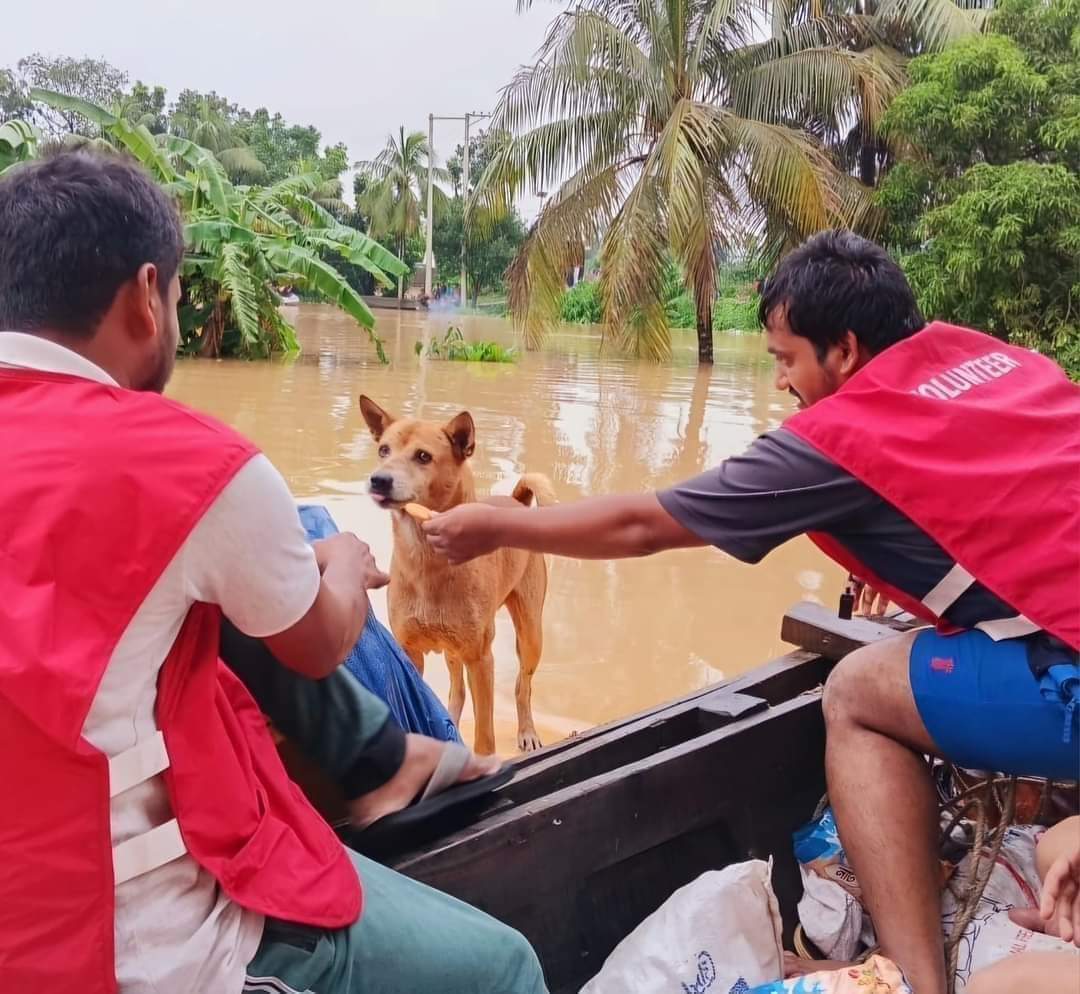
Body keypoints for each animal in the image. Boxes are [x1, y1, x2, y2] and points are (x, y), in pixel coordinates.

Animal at [360, 395, 552, 751]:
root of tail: (516, 502)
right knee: (456, 690)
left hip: (531, 633)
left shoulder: (481, 658)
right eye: (383, 450)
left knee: (523, 686)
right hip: (452, 649)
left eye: (423, 456)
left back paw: (527, 731)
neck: (426, 561)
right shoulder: (411, 652)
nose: (379, 480)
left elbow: (485, 735)